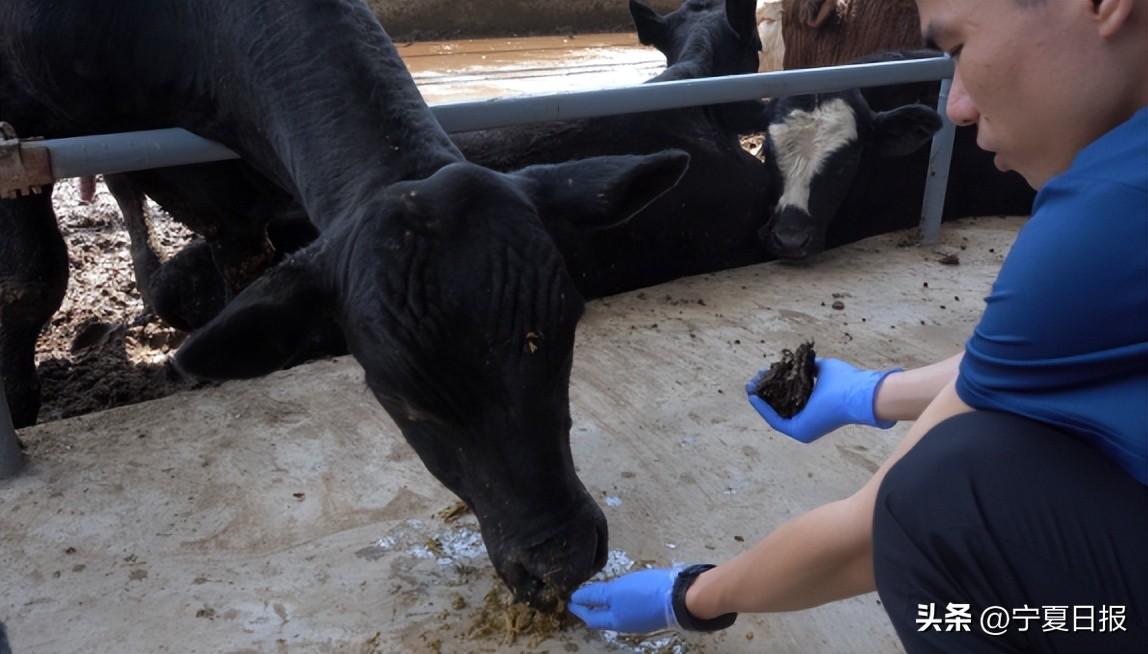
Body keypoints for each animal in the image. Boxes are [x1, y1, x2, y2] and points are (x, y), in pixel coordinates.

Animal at [0, 0, 688, 605]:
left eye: (563, 332)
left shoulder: (232, 196)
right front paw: (18, 408)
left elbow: (241, 262)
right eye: (401, 395)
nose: (559, 561)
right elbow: (33, 274)